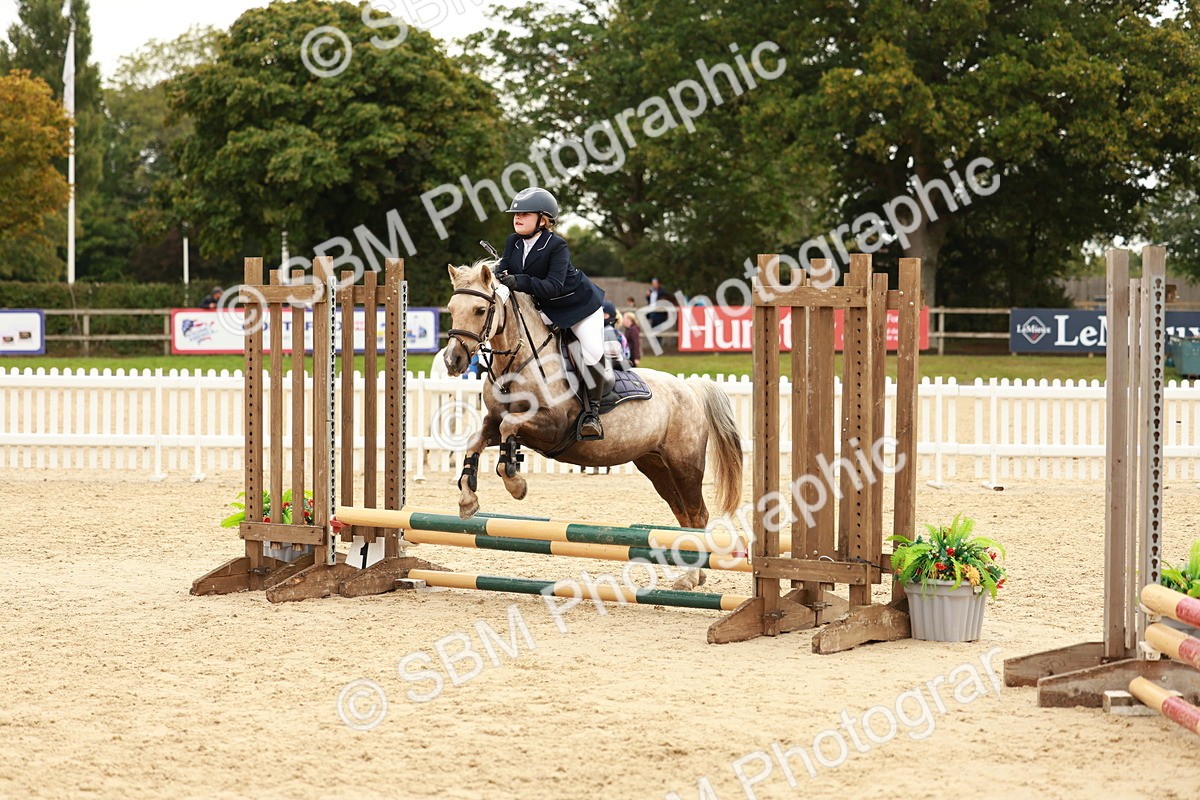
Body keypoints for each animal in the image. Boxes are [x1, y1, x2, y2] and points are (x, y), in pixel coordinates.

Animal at [441, 260, 743, 587]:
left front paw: (515, 484)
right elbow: (477, 439)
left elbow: (510, 427)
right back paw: (695, 574)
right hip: (655, 465)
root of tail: (690, 387)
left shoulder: (552, 427)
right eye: (451, 308)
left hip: (685, 464)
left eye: (480, 310)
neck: (517, 364)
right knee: (683, 514)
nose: (453, 361)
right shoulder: (494, 422)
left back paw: (689, 577)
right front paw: (468, 500)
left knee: (698, 515)